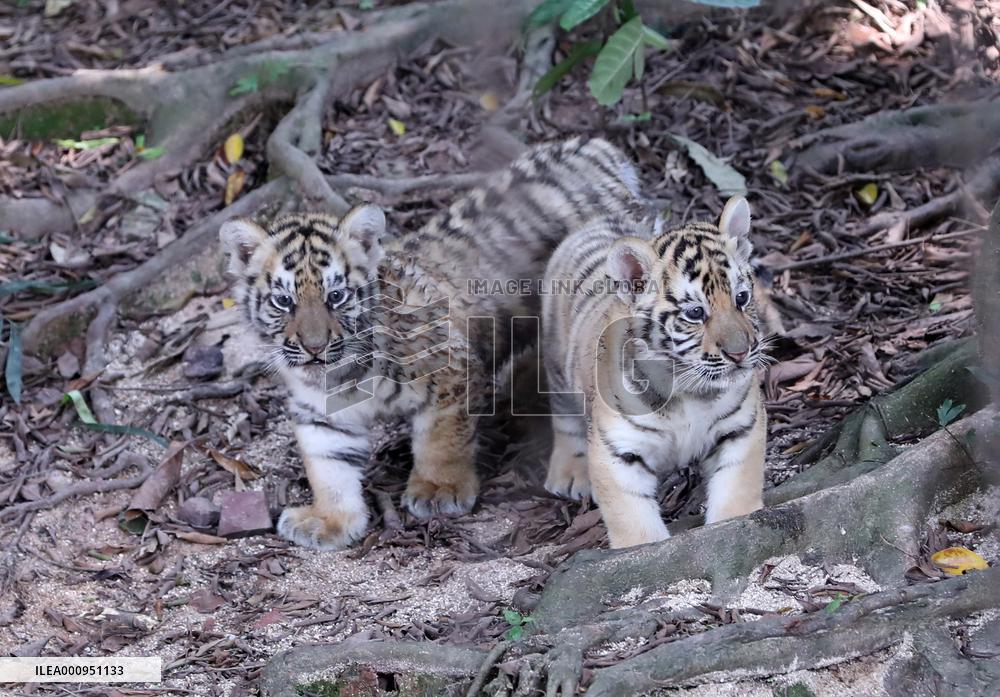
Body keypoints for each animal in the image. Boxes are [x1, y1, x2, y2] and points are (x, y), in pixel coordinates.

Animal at [219, 137, 646, 550]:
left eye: (335, 296)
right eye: (283, 301)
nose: (314, 347)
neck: (342, 373)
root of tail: (597, 148)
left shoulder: (451, 374)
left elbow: (442, 439)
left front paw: (439, 490)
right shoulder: (320, 412)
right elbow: (328, 467)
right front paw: (328, 521)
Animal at [541, 196, 767, 548]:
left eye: (741, 298)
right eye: (695, 313)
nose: (740, 353)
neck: (688, 389)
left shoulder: (741, 428)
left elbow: (737, 491)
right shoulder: (617, 450)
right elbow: (633, 521)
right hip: (556, 363)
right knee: (564, 416)